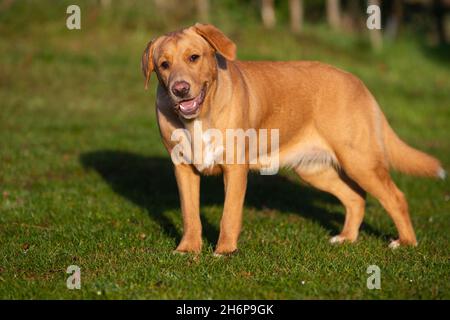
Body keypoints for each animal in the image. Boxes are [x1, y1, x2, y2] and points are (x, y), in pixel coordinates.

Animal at [142, 23, 444, 255]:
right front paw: (188, 249)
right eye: (164, 65)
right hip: (314, 169)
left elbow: (229, 215)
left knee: (395, 197)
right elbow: (190, 214)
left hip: (360, 161)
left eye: (194, 57)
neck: (200, 118)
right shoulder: (183, 168)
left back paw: (405, 242)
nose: (180, 89)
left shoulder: (235, 169)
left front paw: (224, 251)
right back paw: (346, 238)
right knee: (356, 198)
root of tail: (358, 83)